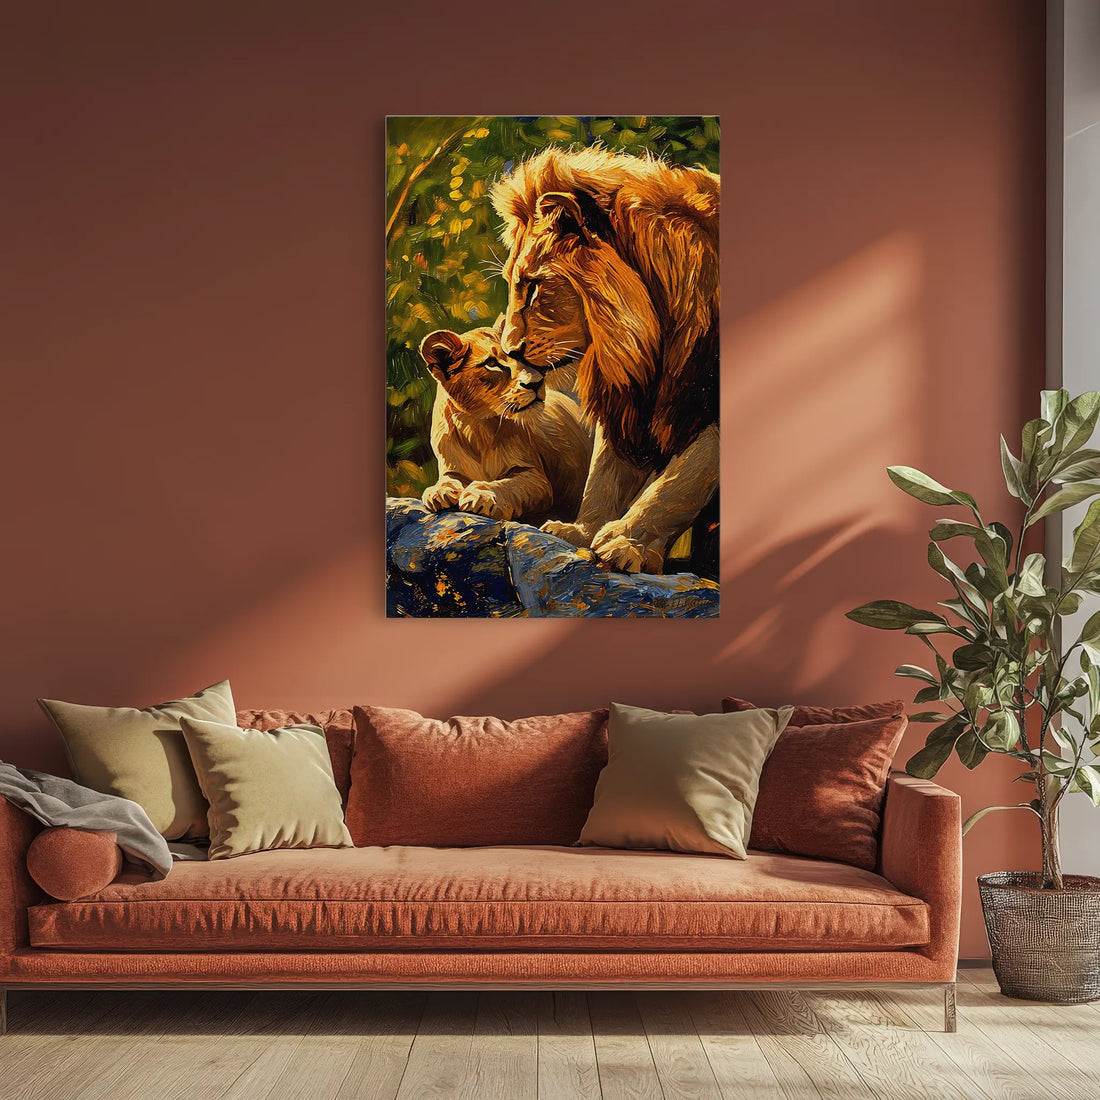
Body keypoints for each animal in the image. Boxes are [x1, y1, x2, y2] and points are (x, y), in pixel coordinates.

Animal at [418, 323, 592, 526]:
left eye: (523, 358)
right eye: (491, 363)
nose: (536, 383)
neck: (477, 429)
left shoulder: (536, 478)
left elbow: (509, 485)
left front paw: (482, 494)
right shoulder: (452, 467)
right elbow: (447, 478)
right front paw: (439, 491)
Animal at [489, 145, 719, 575]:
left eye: (533, 286)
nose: (510, 350)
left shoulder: (705, 406)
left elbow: (679, 482)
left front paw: (627, 542)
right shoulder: (628, 398)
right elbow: (604, 474)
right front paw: (581, 531)